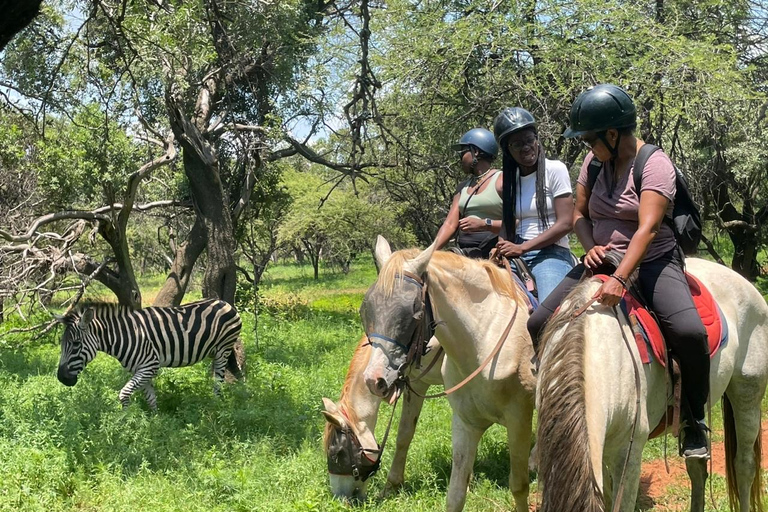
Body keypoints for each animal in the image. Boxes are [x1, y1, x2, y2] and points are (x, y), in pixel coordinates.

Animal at [55, 298, 242, 410]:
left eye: (76, 344)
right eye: (62, 345)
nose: (61, 379)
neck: (125, 336)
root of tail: (223, 302)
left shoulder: (149, 366)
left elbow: (124, 394)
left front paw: (126, 422)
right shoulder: (141, 370)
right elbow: (151, 398)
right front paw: (155, 424)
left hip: (223, 349)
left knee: (218, 381)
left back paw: (216, 406)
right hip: (215, 351)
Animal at [358, 238, 536, 512]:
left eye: (414, 313)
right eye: (365, 310)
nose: (374, 380)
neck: (485, 336)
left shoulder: (520, 418)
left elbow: (519, 485)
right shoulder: (463, 420)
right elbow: (454, 491)